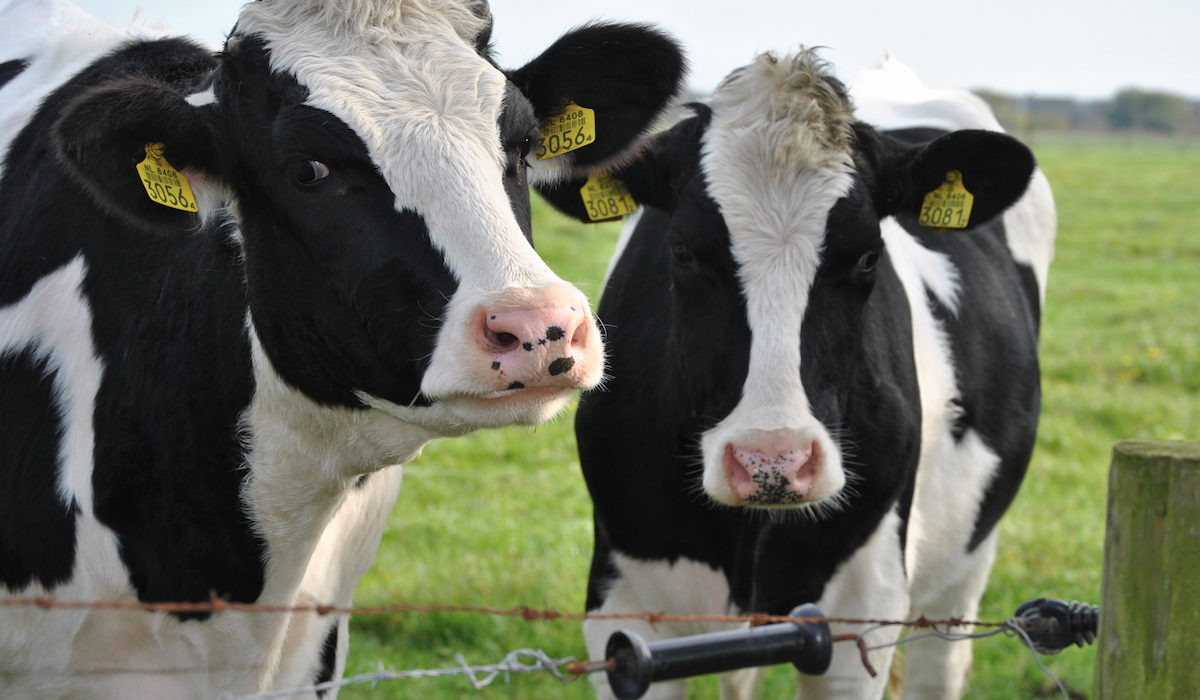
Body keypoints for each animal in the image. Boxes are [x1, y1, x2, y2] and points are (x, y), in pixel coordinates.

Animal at [536, 49, 1055, 700]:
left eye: (868, 256)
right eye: (681, 251)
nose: (772, 463)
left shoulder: (860, 615)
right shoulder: (621, 609)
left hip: (965, 562)